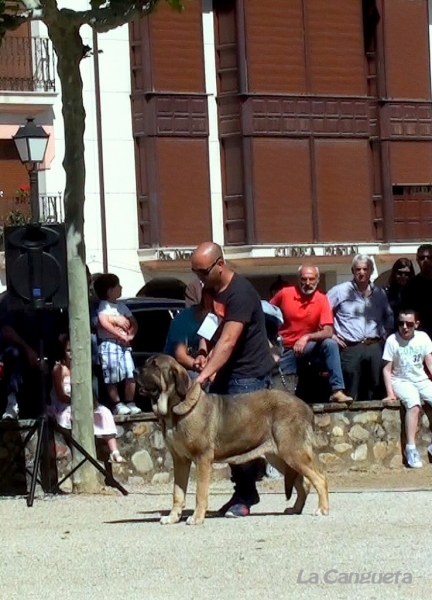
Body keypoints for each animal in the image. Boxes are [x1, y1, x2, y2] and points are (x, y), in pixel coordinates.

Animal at [137, 356, 330, 524]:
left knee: (320, 479)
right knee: (303, 483)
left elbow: (200, 493)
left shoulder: (202, 458)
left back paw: (322, 509)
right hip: (280, 458)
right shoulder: (180, 460)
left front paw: (197, 518)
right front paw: (172, 518)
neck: (174, 409)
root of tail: (306, 406)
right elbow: (177, 492)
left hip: (292, 452)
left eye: (154, 365)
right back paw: (295, 509)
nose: (135, 370)